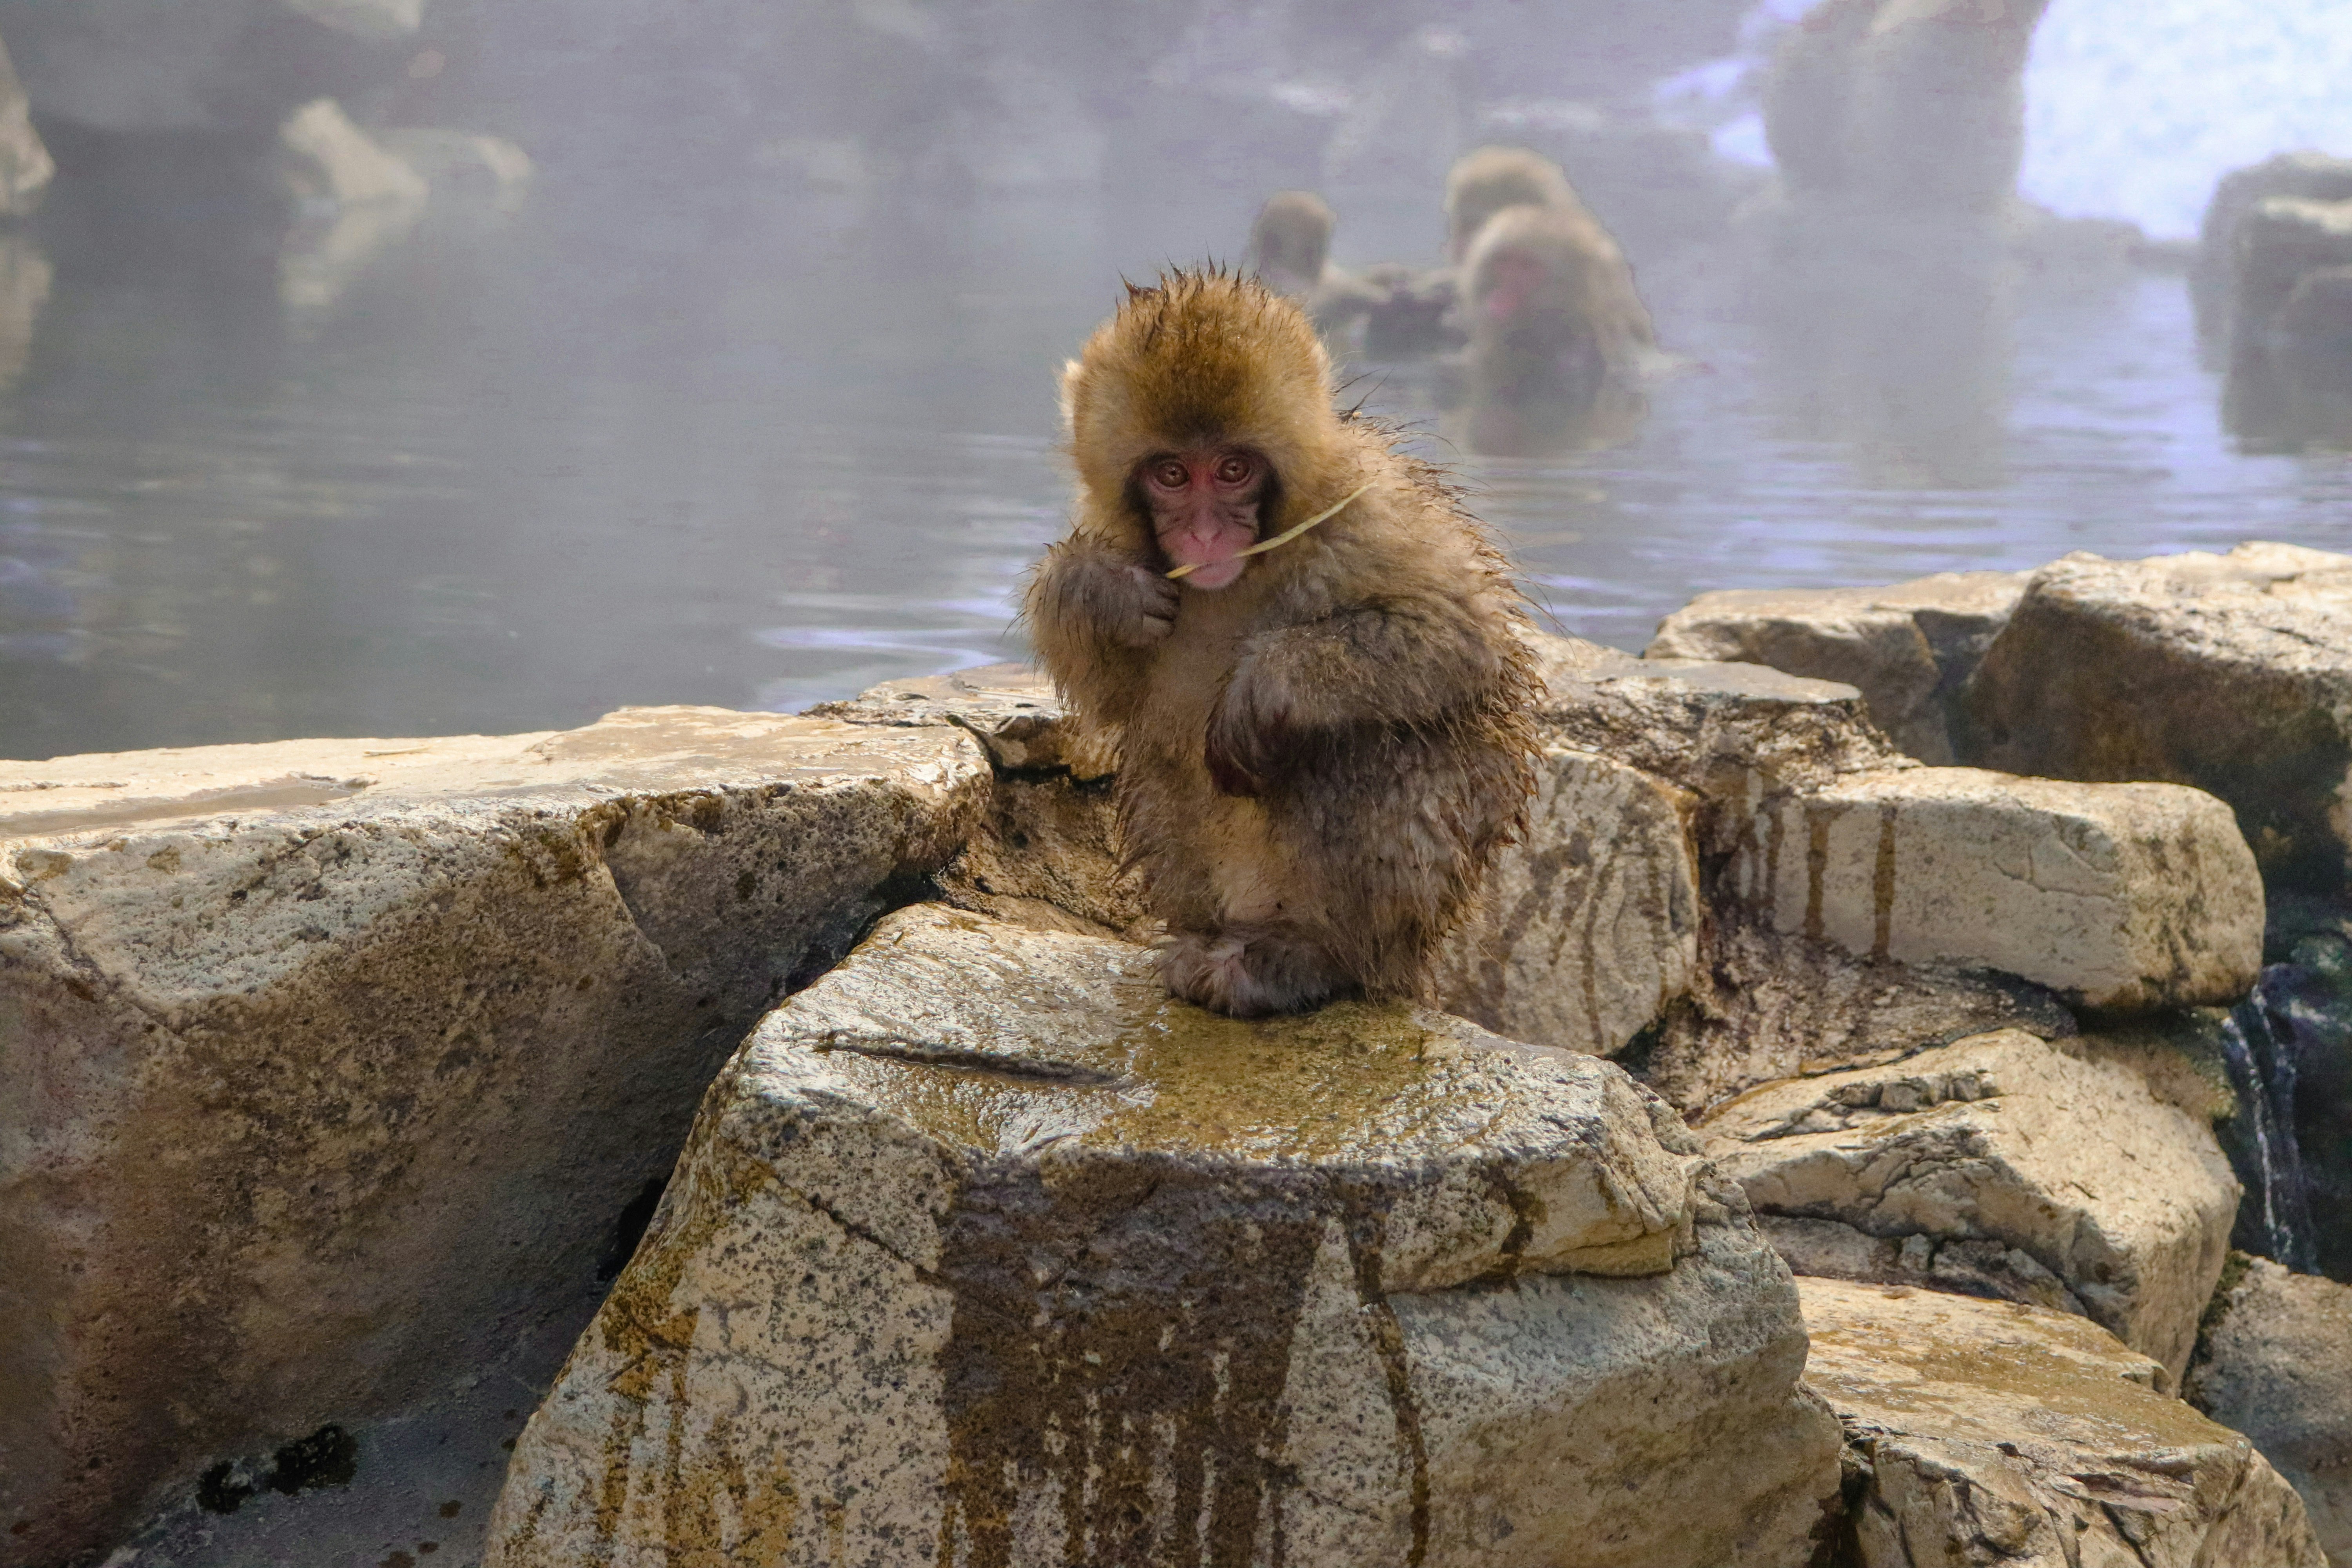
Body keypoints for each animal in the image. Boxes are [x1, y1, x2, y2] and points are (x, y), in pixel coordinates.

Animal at [1020, 269, 1541, 1018]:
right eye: (1172, 475)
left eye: (1233, 470)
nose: (1206, 535)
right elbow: (1114, 700)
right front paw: (1095, 589)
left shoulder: (1370, 506)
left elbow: (1458, 639)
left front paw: (1264, 683)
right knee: (1158, 764)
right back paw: (1207, 943)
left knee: (1372, 749)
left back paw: (1312, 959)